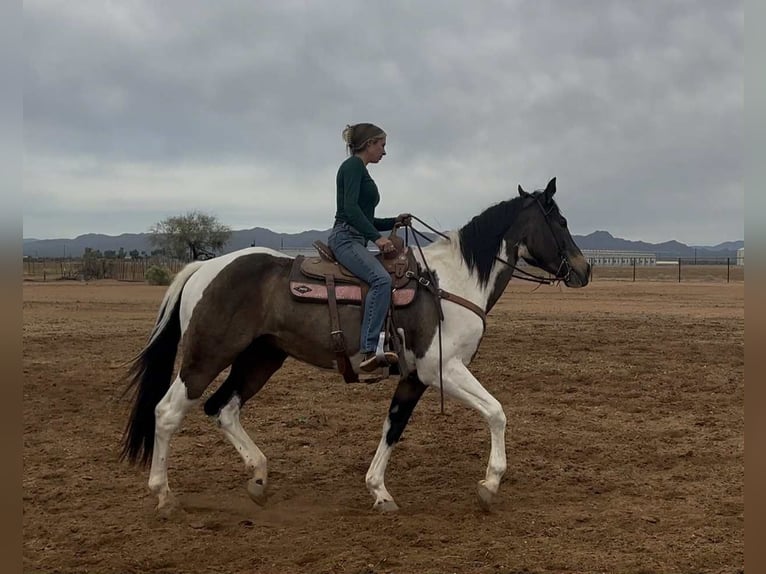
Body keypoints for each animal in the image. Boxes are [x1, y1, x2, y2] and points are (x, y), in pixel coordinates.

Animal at [120, 177, 591, 513]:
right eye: (561, 223)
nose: (584, 269)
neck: (452, 283)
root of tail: (203, 267)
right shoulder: (442, 369)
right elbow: (496, 412)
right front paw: (490, 484)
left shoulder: (415, 377)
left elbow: (393, 427)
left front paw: (379, 491)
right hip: (207, 356)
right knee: (168, 412)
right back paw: (164, 495)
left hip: (262, 357)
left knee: (224, 408)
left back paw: (258, 477)